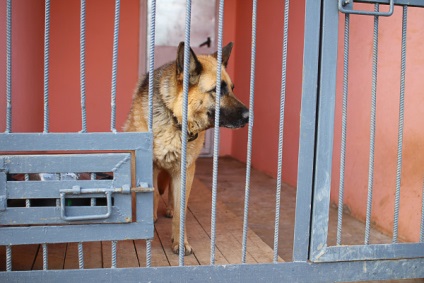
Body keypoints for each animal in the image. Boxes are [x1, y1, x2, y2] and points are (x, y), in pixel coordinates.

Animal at [123, 41, 248, 255]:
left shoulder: (185, 170)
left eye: (232, 88)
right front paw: (151, 220)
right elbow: (153, 194)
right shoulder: (150, 166)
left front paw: (180, 243)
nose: (249, 115)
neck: (175, 119)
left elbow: (181, 211)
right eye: (218, 90)